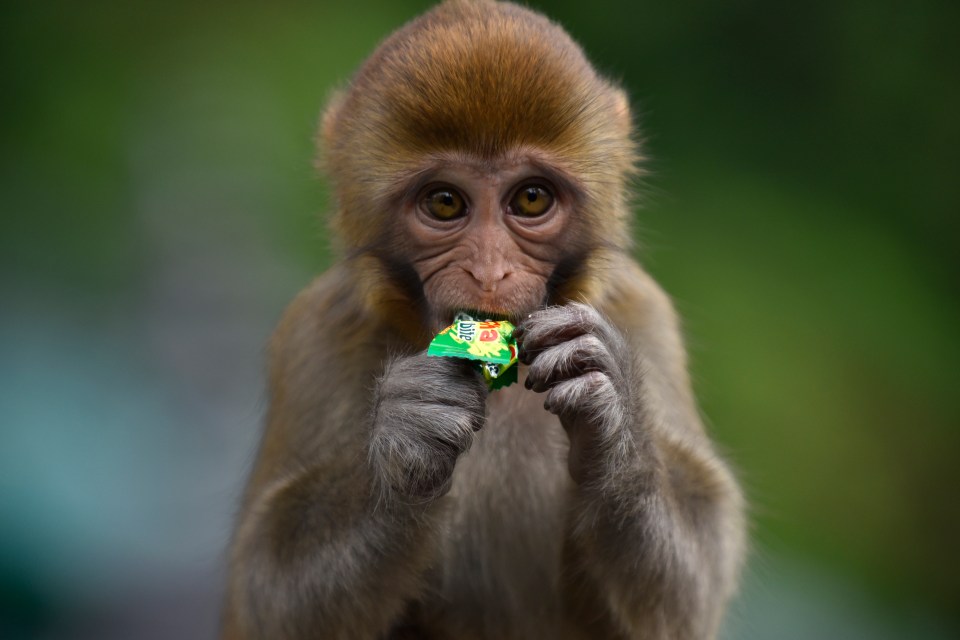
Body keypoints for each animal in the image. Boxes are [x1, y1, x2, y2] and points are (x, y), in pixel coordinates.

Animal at [221, 2, 748, 636]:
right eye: (445, 202)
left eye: (531, 199)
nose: (490, 272)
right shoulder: (316, 330)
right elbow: (264, 591)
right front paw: (408, 438)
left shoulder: (644, 312)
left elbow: (687, 585)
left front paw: (612, 408)